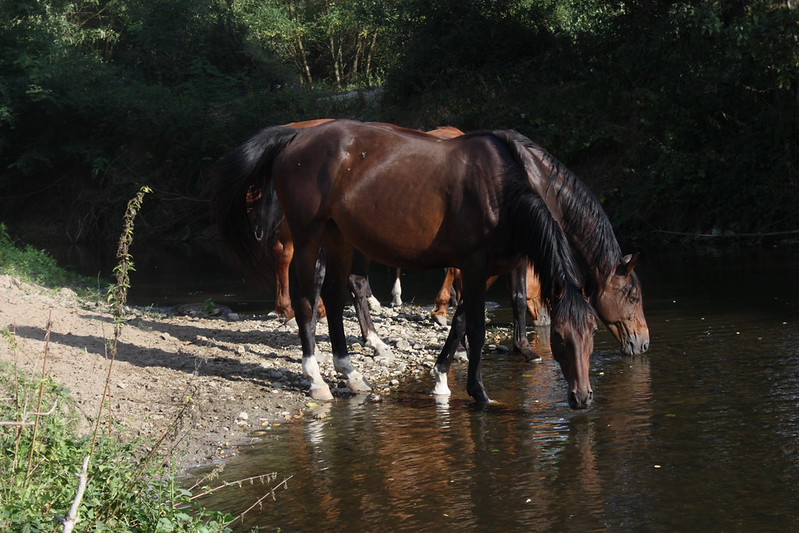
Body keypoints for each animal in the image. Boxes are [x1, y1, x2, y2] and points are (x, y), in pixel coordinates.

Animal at [212, 119, 597, 408]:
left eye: (592, 332)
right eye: (560, 337)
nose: (582, 398)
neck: (497, 191)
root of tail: (295, 136)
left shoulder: (490, 268)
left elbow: (462, 321)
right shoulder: (474, 266)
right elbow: (475, 327)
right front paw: (479, 393)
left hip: (339, 237)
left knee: (335, 299)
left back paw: (351, 374)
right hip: (309, 235)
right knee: (307, 299)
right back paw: (316, 378)